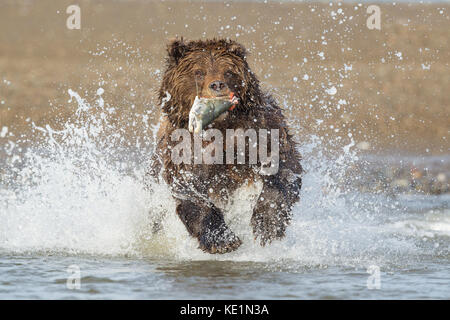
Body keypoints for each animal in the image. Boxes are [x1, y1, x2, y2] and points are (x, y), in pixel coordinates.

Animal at [148, 39, 302, 255]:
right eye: (199, 71)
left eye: (228, 72)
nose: (217, 85)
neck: (220, 127)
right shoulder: (183, 150)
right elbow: (191, 192)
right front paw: (222, 240)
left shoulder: (262, 132)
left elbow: (283, 169)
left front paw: (267, 225)